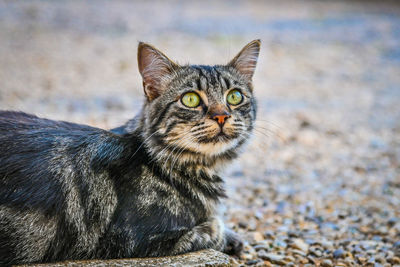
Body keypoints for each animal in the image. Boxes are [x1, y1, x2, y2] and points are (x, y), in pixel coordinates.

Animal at [0, 39, 260, 266]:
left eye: (235, 96)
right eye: (190, 99)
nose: (222, 115)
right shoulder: (136, 240)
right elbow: (212, 229)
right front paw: (226, 235)